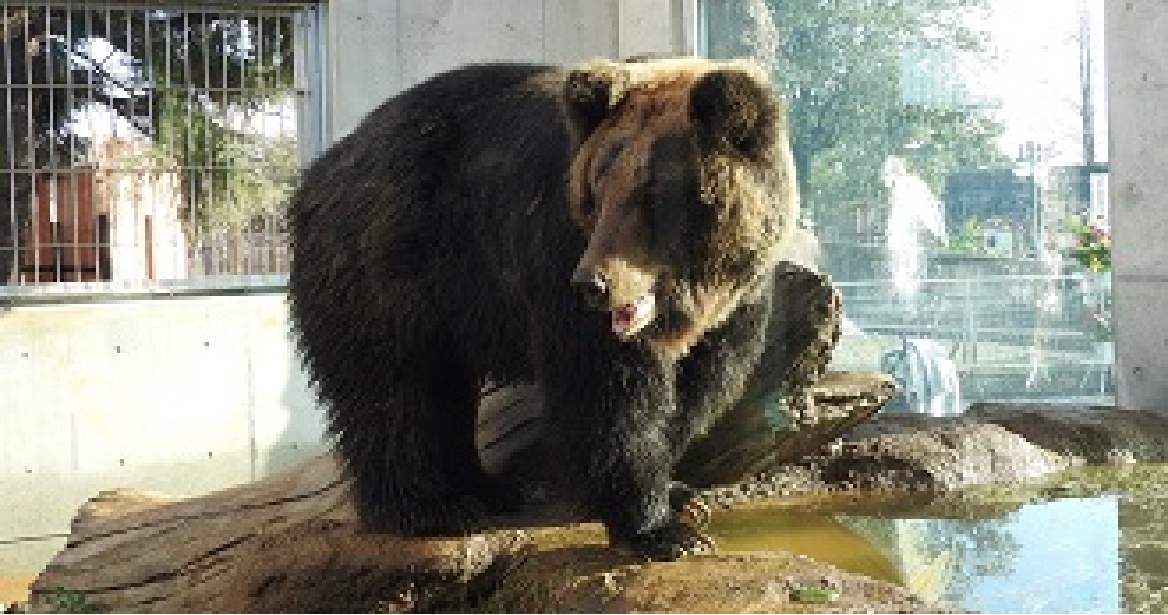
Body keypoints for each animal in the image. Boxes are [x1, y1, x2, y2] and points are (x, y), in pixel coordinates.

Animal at [287, 58, 798, 562]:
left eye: (651, 190)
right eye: (598, 185)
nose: (594, 284)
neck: (690, 299)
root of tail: (318, 173)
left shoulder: (738, 303)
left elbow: (701, 387)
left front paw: (679, 494)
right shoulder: (558, 256)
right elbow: (608, 390)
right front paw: (660, 529)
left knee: (445, 388)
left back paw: (489, 489)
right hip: (387, 266)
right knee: (391, 389)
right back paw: (430, 507)